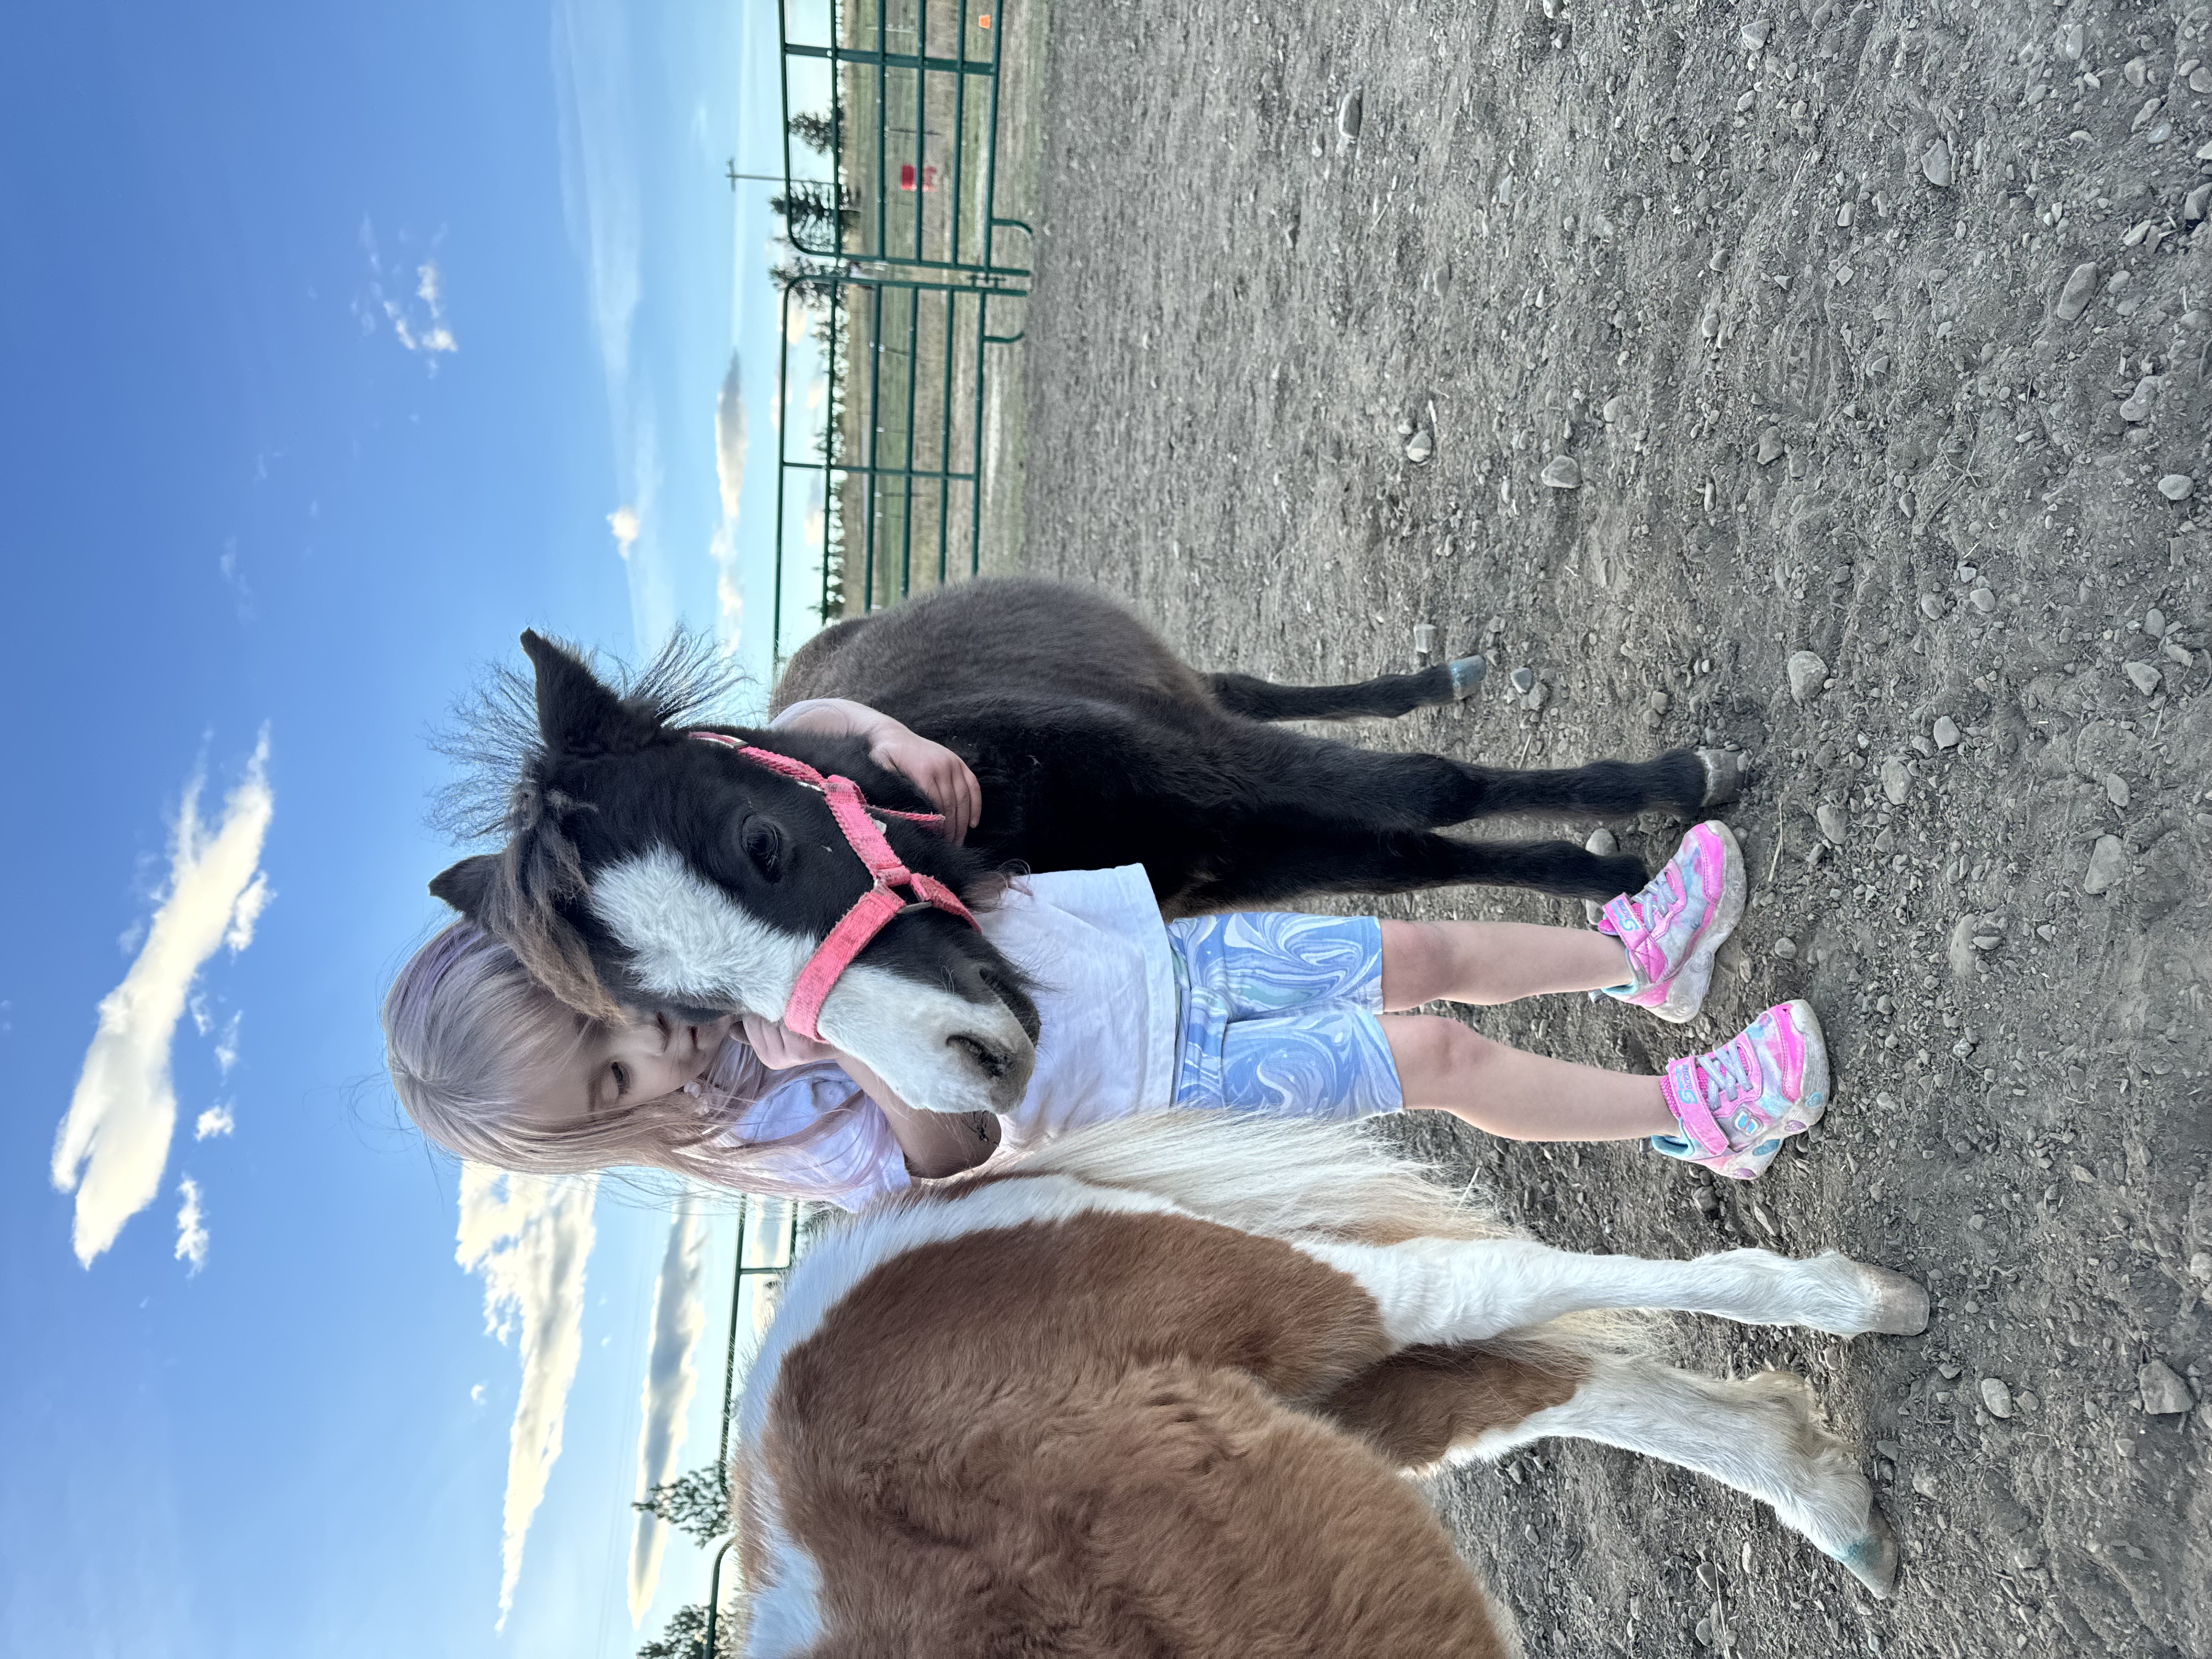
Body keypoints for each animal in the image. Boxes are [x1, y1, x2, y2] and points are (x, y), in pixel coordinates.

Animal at [429, 578, 1742, 1118]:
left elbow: (1437, 786)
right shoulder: (1251, 852)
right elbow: (1413, 856)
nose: (963, 1066)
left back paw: (1439, 685)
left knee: (1254, 691)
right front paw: (1615, 879)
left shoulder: (1225, 781)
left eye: (763, 844)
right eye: (709, 1020)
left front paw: (1669, 794)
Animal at [729, 1112, 1925, 1656]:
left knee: (1487, 1281)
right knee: (1544, 1382)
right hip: (1343, 1412)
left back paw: (1858, 1302)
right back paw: (1818, 1489)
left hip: (1301, 1296)